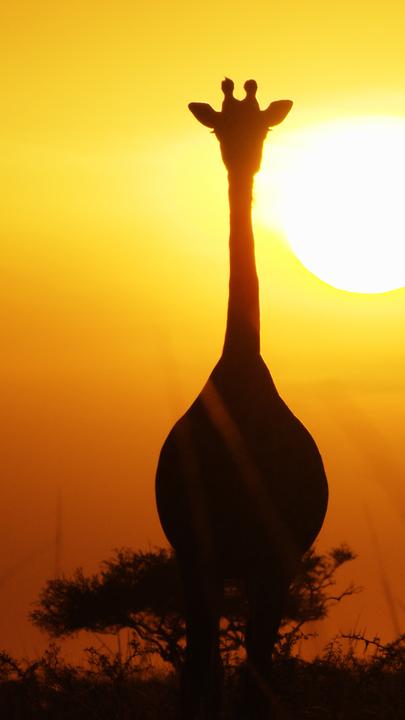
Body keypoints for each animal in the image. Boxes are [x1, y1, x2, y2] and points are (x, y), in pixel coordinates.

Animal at [155, 79, 328, 719]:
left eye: (263, 127)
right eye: (219, 128)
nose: (243, 159)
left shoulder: (274, 563)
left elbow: (256, 677)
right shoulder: (196, 554)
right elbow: (203, 673)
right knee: (201, 667)